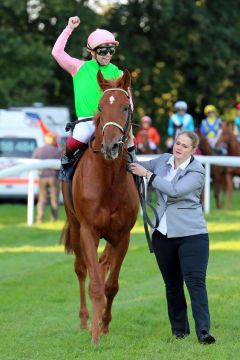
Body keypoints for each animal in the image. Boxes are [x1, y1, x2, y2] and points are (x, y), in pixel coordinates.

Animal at [61, 68, 139, 344]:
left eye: (126, 107)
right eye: (101, 106)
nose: (110, 146)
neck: (108, 182)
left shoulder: (123, 236)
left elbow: (111, 285)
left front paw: (104, 324)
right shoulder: (88, 231)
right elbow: (94, 284)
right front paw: (95, 333)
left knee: (104, 264)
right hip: (74, 225)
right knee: (81, 269)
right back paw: (85, 320)